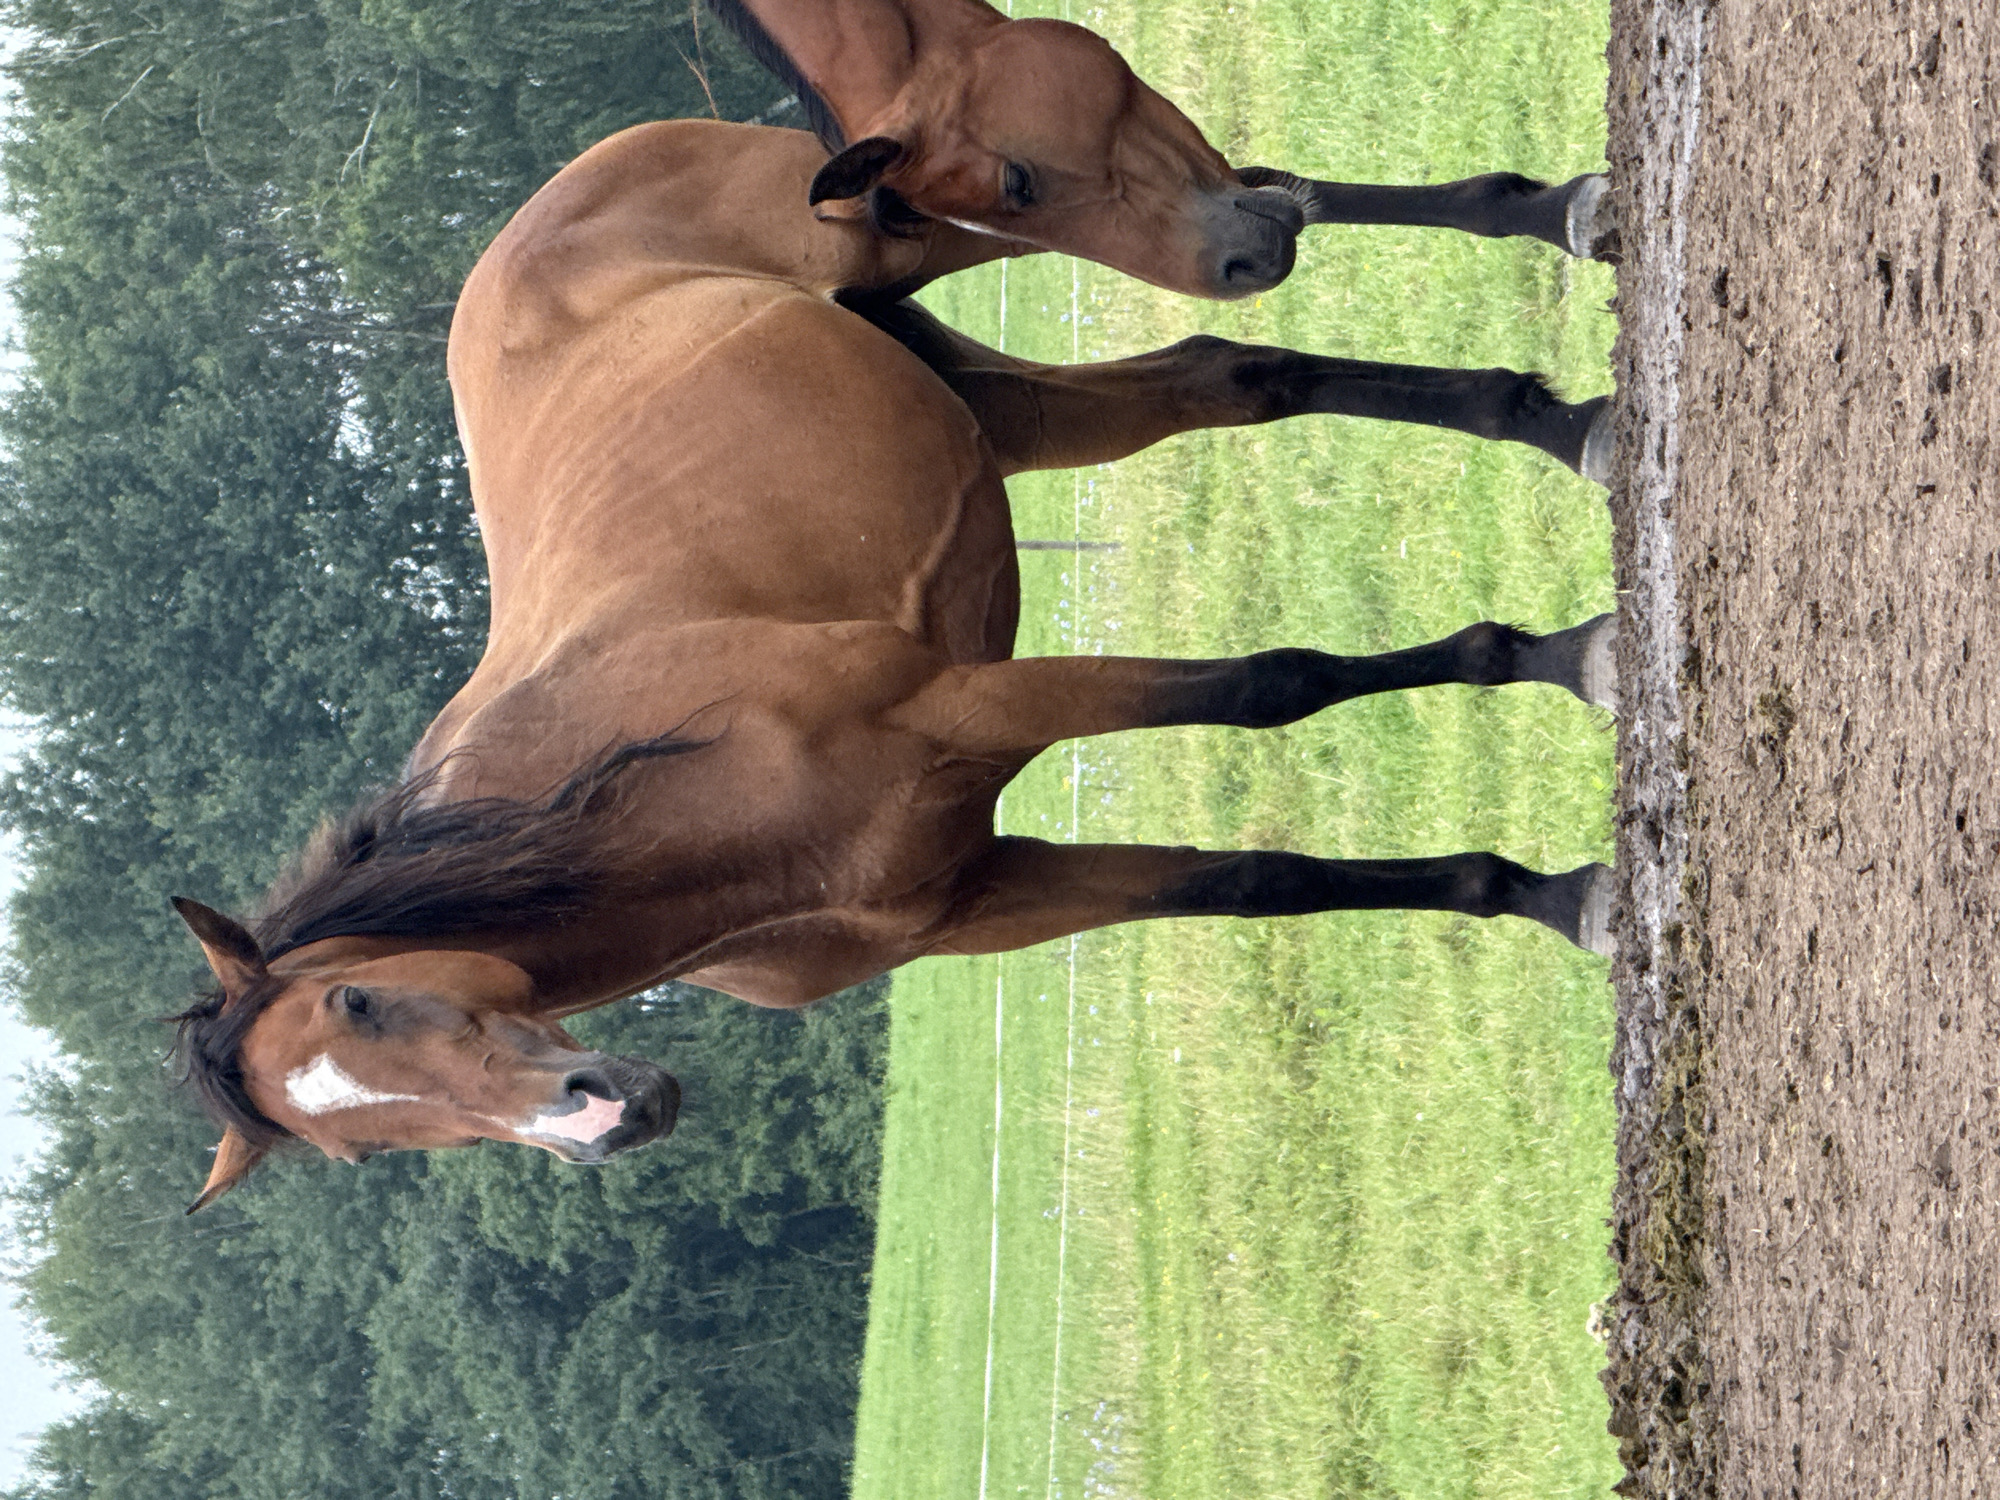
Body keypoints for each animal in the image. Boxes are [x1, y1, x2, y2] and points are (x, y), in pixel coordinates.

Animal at [170, 0, 1622, 1212]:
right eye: (360, 1148)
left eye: (363, 1003)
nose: (598, 1118)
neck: (677, 801)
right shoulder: (981, 897)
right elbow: (1259, 881)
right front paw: (1537, 889)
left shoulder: (973, 699)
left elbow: (1275, 684)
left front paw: (1569, 677)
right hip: (981, 388)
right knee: (1235, 367)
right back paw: (1553, 412)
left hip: (942, 231)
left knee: (1249, 219)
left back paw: (1558, 258)